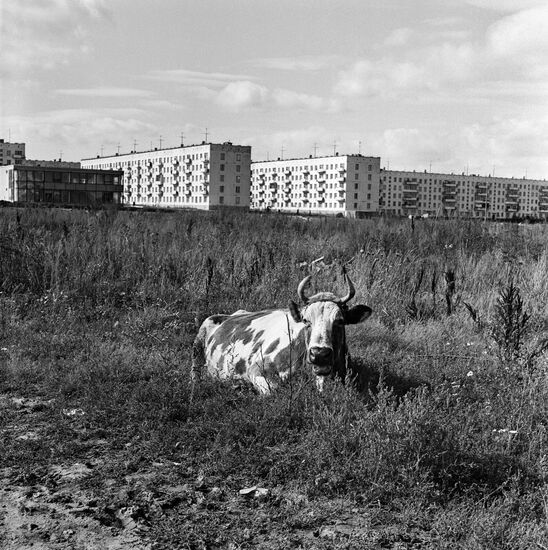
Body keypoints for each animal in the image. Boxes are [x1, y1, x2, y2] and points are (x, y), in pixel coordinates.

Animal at [192, 272, 372, 394]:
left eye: (340, 321)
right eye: (306, 321)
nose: (319, 354)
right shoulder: (257, 369)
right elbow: (274, 391)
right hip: (199, 341)